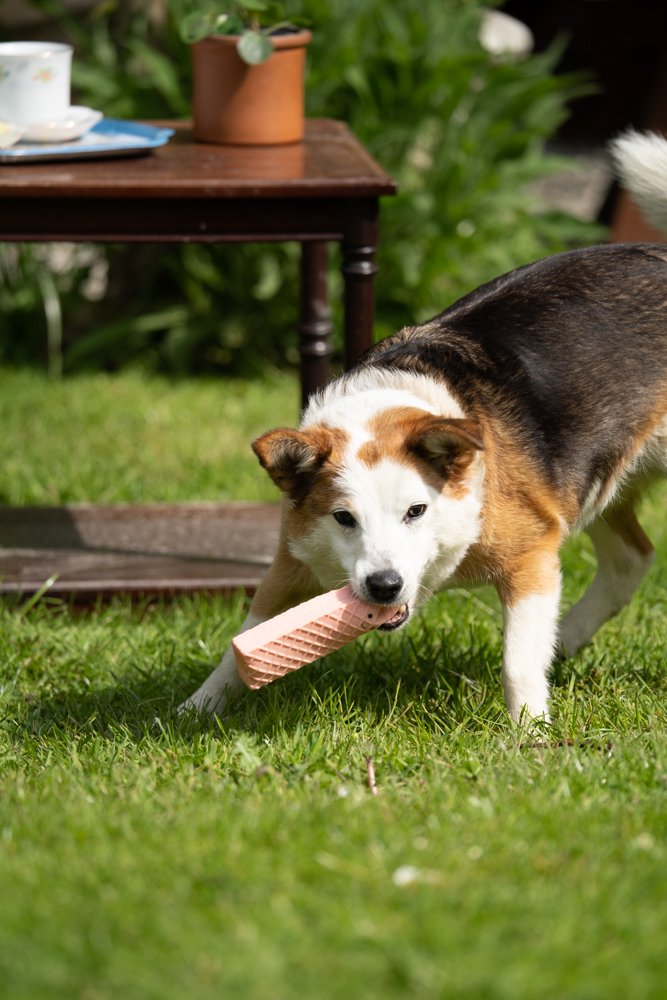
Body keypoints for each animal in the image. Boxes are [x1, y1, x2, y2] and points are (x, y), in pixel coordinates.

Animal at [180, 135, 664, 728]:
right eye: (344, 518)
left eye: (416, 511)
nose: (383, 586)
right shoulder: (292, 561)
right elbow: (242, 641)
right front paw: (195, 709)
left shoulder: (532, 552)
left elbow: (518, 660)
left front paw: (529, 730)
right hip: (598, 485)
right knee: (631, 560)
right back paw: (567, 640)